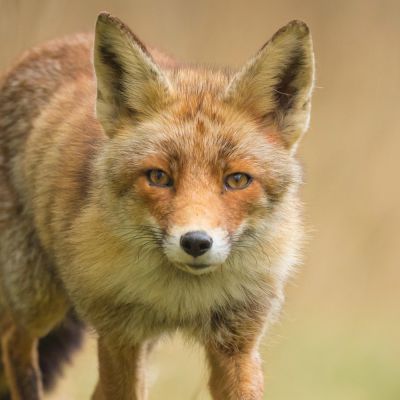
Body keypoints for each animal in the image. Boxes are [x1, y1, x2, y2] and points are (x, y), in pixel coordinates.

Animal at [0, 11, 314, 400]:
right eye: (159, 177)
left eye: (237, 180)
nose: (195, 242)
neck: (179, 298)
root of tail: (56, 43)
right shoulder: (119, 336)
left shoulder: (237, 341)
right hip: (39, 297)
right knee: (13, 340)